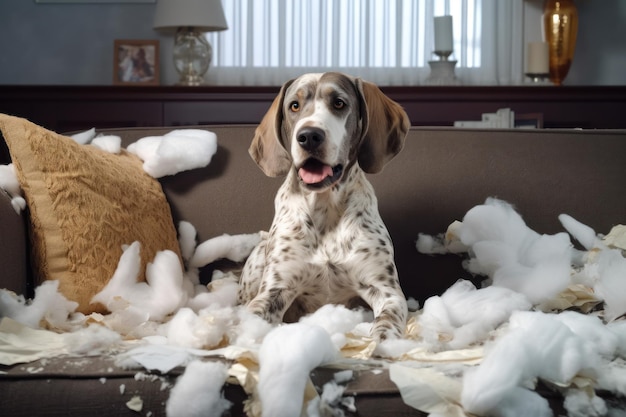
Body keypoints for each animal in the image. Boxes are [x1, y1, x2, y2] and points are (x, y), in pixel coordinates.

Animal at [236, 70, 408, 338]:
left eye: (339, 103)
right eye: (294, 105)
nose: (309, 136)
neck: (325, 208)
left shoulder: (387, 292)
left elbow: (386, 324)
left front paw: (384, 342)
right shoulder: (274, 290)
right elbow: (252, 320)